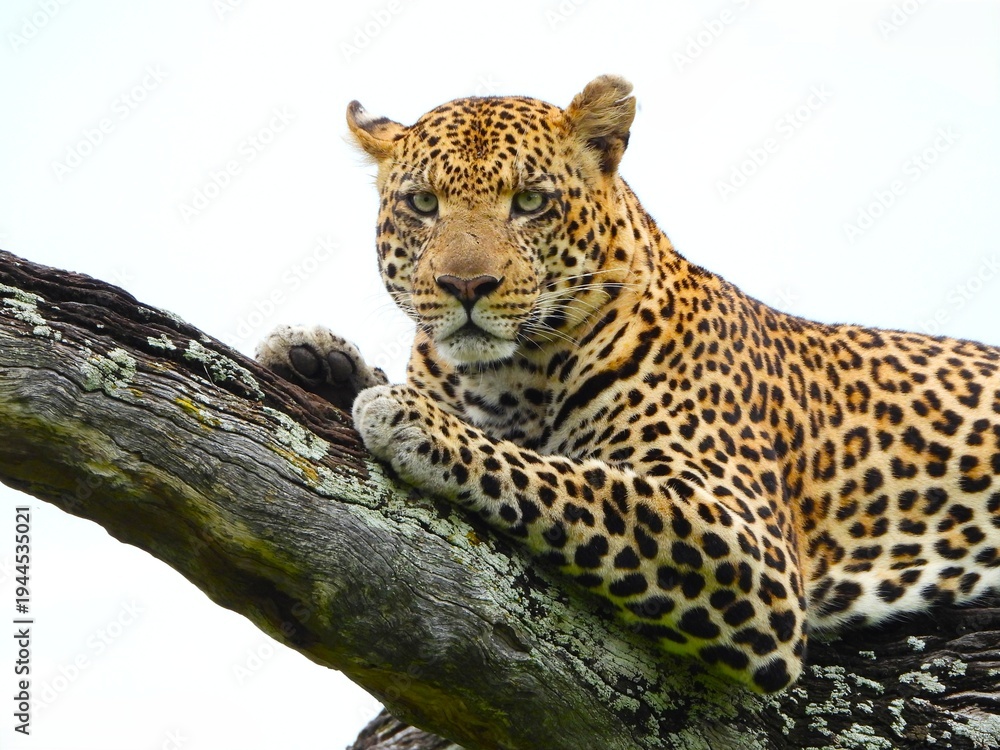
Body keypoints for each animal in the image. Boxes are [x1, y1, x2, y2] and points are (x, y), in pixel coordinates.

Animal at [256, 75, 1000, 693]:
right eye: (422, 203)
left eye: (530, 202)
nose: (466, 286)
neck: (504, 378)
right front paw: (316, 358)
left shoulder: (746, 542)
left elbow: (578, 482)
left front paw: (418, 422)